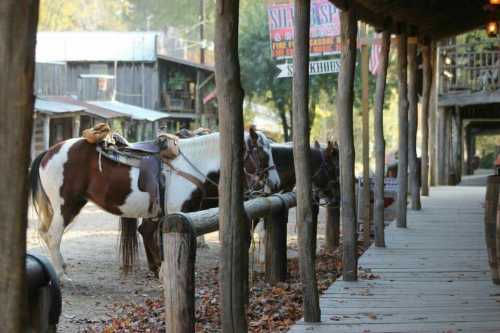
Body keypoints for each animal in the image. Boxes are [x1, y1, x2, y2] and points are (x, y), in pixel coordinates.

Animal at [30, 130, 282, 280]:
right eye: (262, 153)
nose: (275, 183)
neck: (189, 164)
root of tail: (49, 151)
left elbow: (150, 235)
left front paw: (158, 270)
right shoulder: (177, 213)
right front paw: (164, 272)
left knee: (46, 233)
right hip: (66, 206)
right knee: (53, 236)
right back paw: (62, 275)